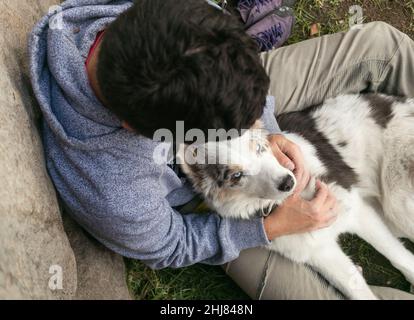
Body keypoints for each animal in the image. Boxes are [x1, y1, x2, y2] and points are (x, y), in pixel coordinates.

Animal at [180, 94, 414, 298]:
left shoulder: (358, 212)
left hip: (398, 205)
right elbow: (356, 287)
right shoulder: (320, 252)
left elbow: (399, 256)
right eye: (236, 176)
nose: (288, 182)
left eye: (260, 148)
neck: (293, 198)